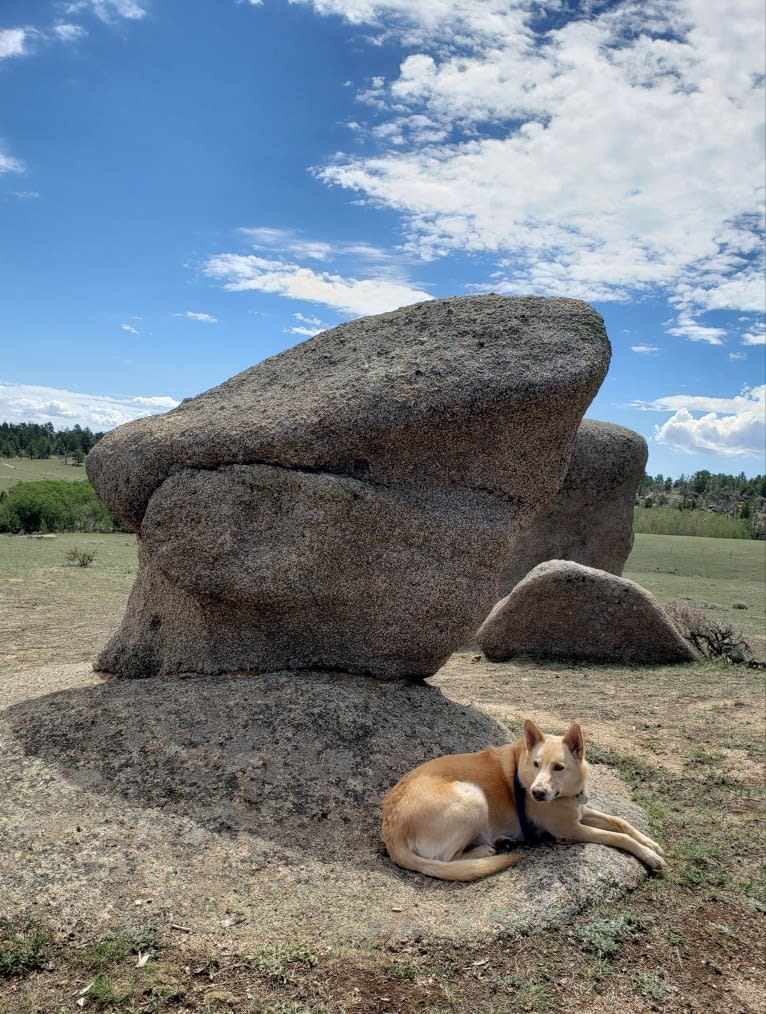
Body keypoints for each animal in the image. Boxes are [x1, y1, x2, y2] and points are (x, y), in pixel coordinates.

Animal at [381, 721, 665, 880]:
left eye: (558, 767)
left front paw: (651, 843)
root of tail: (391, 830)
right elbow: (618, 837)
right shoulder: (571, 828)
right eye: (537, 764)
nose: (536, 793)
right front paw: (650, 856)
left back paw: (501, 841)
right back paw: (483, 852)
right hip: (473, 797)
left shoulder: (579, 811)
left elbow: (620, 822)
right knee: (445, 859)